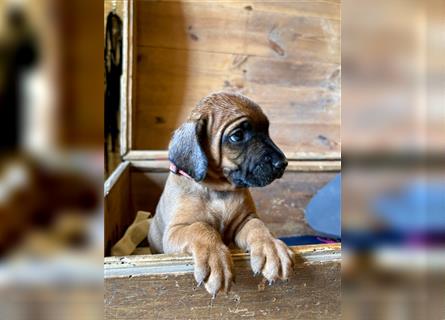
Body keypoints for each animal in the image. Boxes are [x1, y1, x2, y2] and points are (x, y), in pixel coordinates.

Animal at [149, 91, 294, 296]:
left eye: (266, 130)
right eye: (238, 136)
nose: (282, 163)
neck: (218, 190)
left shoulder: (245, 220)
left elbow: (258, 226)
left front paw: (271, 247)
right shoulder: (175, 231)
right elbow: (200, 227)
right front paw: (215, 258)